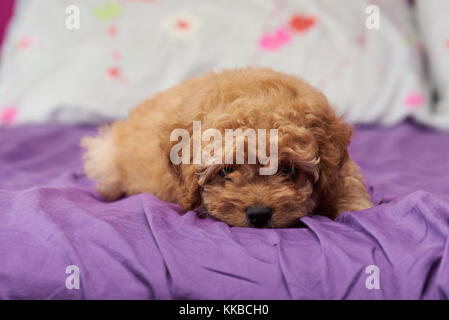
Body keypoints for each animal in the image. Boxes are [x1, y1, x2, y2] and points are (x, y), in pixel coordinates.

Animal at [82, 67, 372, 228]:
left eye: (289, 170)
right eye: (225, 172)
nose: (258, 215)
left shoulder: (341, 171)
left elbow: (350, 193)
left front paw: (357, 211)